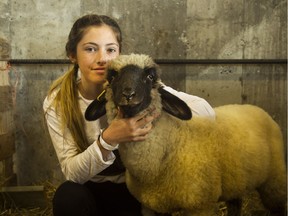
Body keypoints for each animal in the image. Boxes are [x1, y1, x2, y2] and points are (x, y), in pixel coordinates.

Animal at [84, 53, 286, 216]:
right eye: (112, 76)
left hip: (274, 182)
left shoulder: (200, 205)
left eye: (150, 76)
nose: (128, 94)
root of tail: (253, 107)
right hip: (237, 182)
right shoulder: (151, 207)